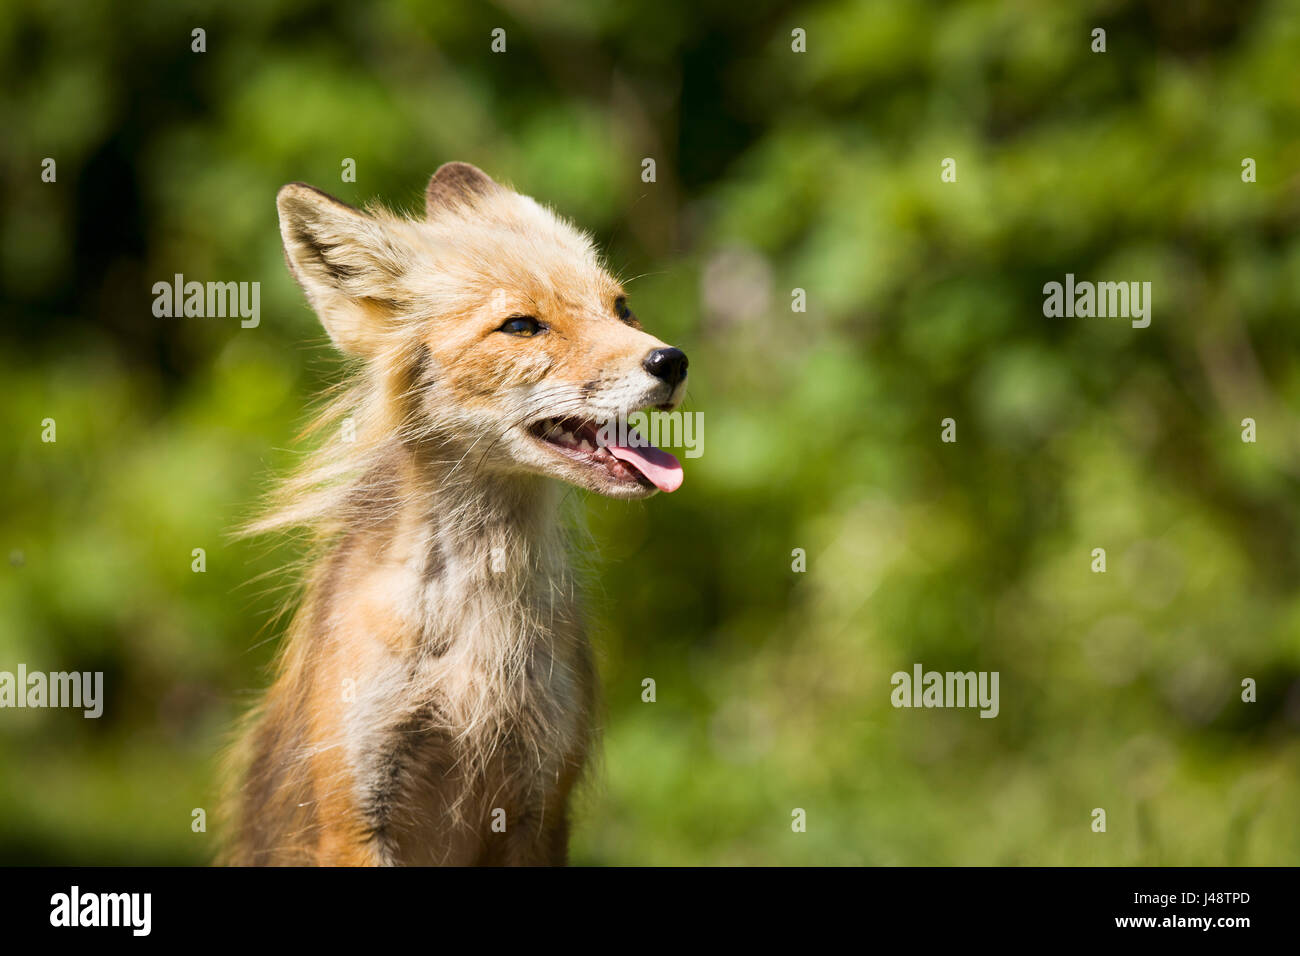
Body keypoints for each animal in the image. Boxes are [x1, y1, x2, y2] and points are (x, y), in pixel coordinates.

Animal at [223, 160, 691, 863]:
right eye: (522, 326)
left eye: (622, 309)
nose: (672, 360)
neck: (473, 651)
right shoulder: (354, 811)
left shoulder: (539, 804)